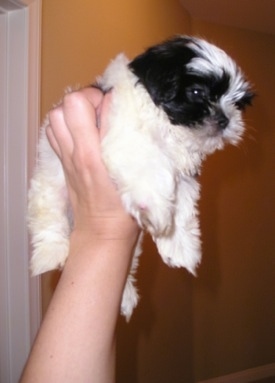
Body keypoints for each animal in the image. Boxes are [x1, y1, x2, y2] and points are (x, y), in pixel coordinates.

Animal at [27, 36, 254, 320]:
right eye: (197, 93)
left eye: (236, 102)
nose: (225, 119)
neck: (167, 127)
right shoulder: (128, 136)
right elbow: (151, 168)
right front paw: (155, 208)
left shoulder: (184, 177)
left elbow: (183, 207)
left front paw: (180, 245)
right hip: (49, 182)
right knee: (48, 215)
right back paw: (50, 253)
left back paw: (124, 294)